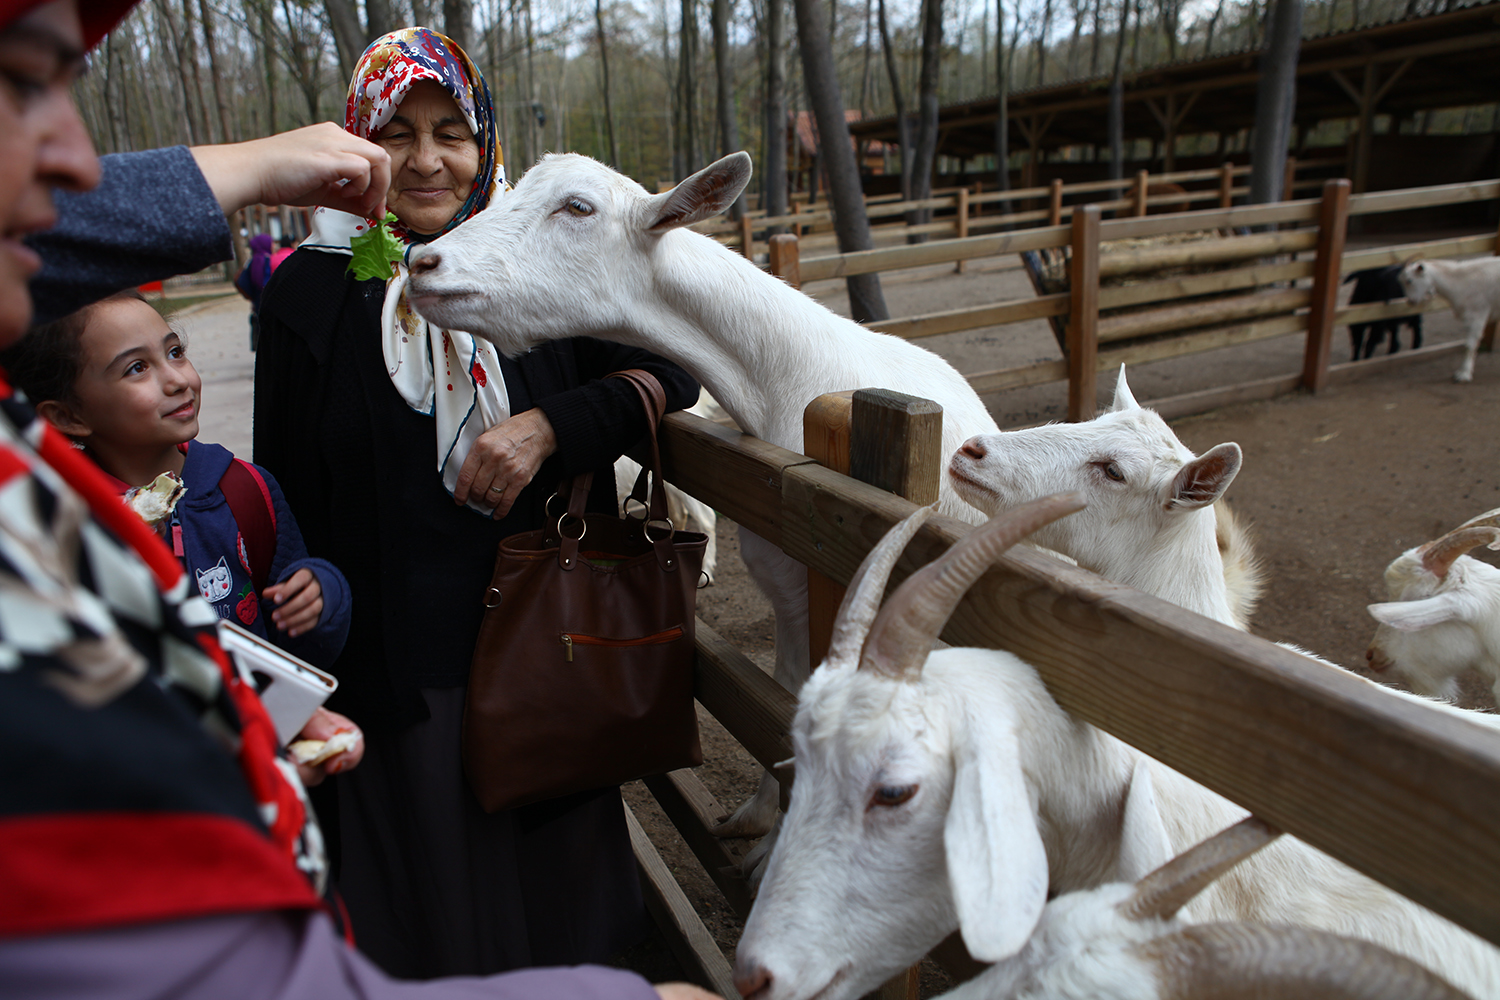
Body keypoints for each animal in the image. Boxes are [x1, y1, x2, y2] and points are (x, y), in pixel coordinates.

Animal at [405, 148, 1002, 839]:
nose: (421, 263)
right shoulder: (789, 593)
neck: (782, 387)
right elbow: (787, 703)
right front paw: (758, 818)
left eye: (578, 207)